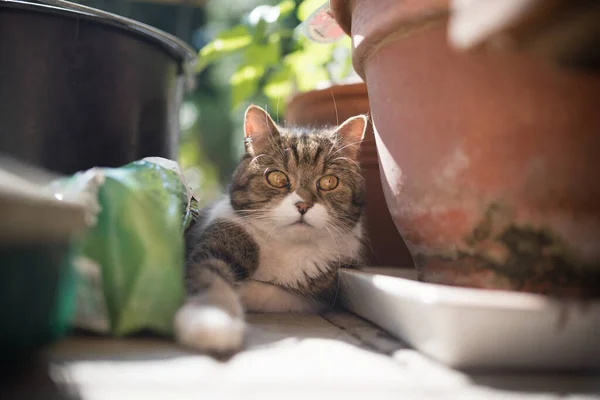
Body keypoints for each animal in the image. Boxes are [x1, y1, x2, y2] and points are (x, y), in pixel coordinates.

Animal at [173, 104, 368, 354]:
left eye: (328, 182)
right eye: (277, 178)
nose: (303, 205)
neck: (285, 245)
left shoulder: (320, 293)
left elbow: (273, 292)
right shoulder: (222, 238)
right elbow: (209, 275)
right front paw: (212, 322)